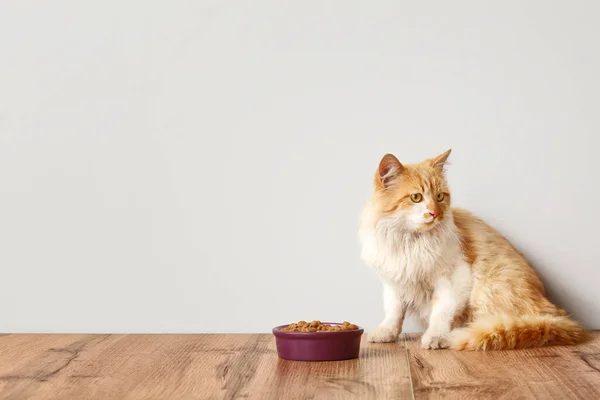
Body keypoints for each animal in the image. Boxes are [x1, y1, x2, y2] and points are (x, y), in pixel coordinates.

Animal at [358, 150, 588, 350]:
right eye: (416, 197)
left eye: (440, 196)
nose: (435, 213)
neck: (411, 243)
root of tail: (553, 316)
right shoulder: (394, 283)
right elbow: (394, 312)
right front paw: (387, 333)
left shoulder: (453, 278)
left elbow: (441, 312)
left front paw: (436, 337)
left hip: (485, 289)